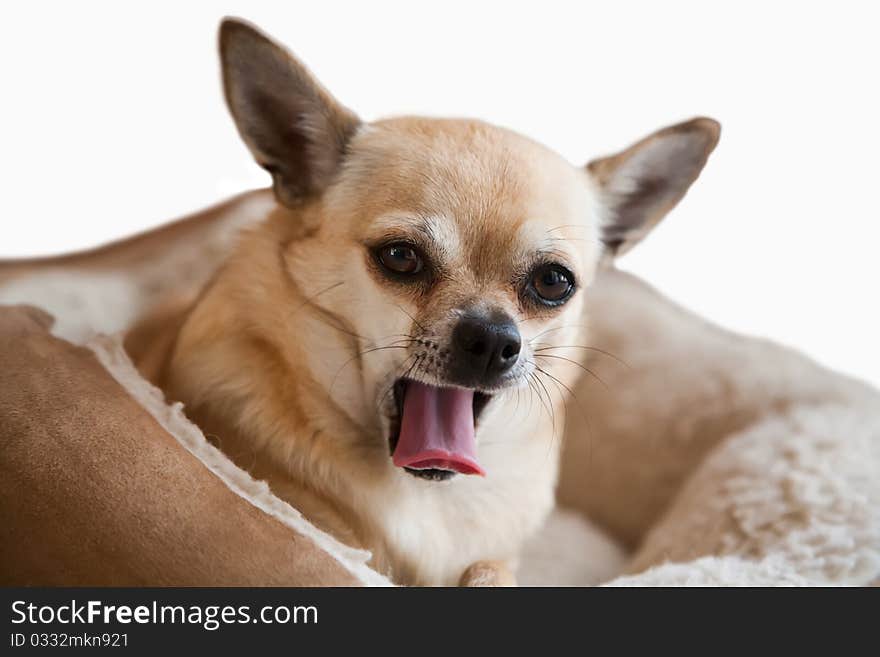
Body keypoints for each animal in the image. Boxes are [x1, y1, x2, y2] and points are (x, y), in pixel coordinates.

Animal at [127, 19, 720, 584]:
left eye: (554, 282)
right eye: (400, 257)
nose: (492, 339)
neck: (426, 499)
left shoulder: (496, 555)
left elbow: (491, 569)